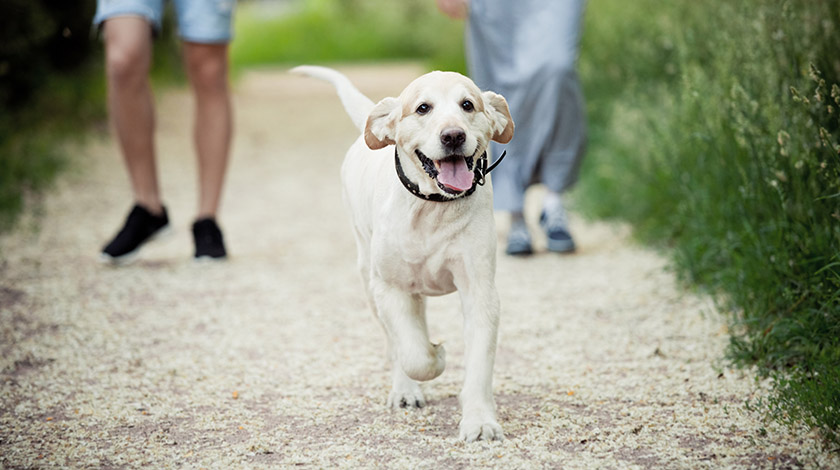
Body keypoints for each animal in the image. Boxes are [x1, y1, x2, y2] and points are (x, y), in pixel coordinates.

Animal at [292, 65, 516, 440]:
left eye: (468, 105)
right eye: (423, 108)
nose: (453, 136)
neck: (434, 209)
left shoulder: (480, 291)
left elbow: (479, 364)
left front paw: (480, 422)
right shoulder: (391, 288)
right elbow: (414, 354)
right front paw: (436, 357)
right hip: (369, 280)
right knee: (396, 342)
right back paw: (405, 390)